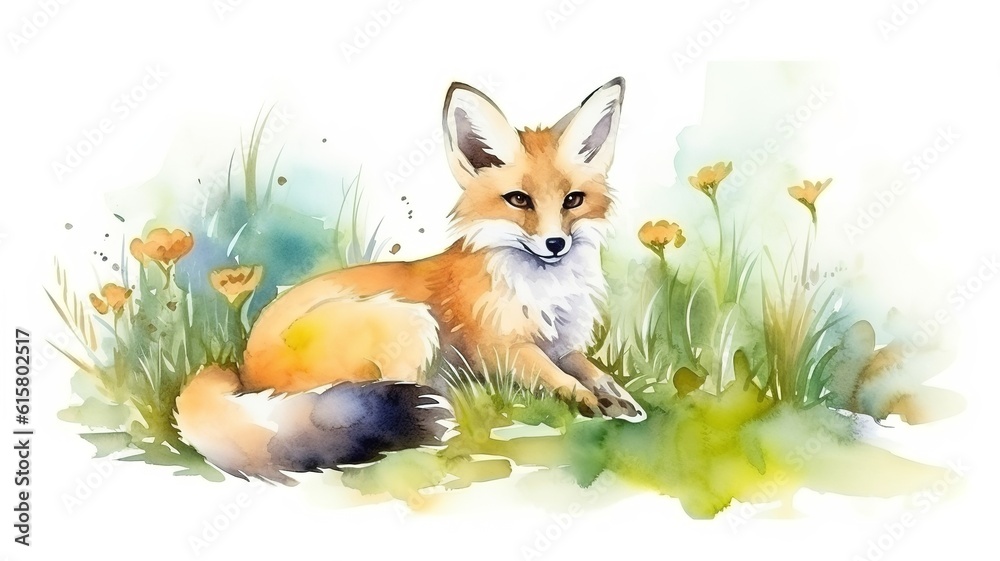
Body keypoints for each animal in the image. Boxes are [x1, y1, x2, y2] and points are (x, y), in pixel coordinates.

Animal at [175, 77, 645, 483]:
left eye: (573, 201)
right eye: (518, 200)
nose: (555, 244)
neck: (546, 292)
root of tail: (242, 368)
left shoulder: (563, 344)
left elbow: (590, 369)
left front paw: (618, 397)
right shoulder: (501, 350)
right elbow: (557, 378)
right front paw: (589, 401)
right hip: (411, 323)